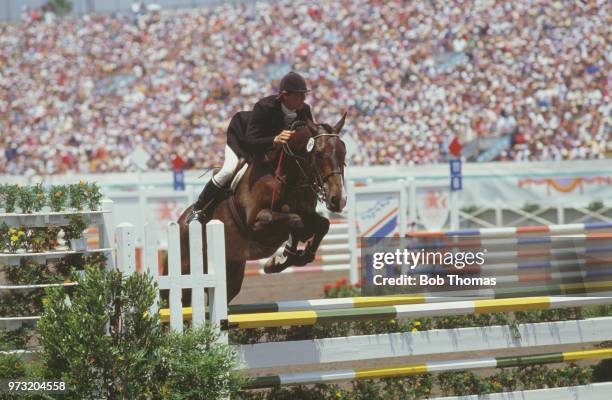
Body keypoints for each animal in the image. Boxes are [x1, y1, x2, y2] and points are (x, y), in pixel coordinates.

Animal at [178, 114, 350, 302]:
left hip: (232, 273)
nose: (338, 200)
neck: (287, 177)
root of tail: (181, 221)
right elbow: (295, 221)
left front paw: (296, 256)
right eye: (318, 154)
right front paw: (282, 260)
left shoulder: (307, 214)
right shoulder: (257, 223)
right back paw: (196, 215)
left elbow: (323, 224)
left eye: (344, 152)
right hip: (186, 272)